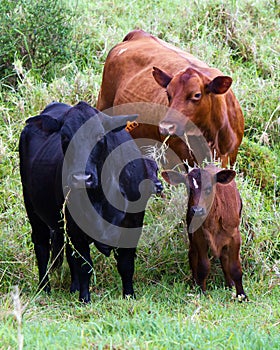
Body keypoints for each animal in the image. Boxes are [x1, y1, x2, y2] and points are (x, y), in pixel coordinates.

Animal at [19, 100, 162, 300]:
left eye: (99, 136)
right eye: (65, 137)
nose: (81, 178)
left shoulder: (133, 223)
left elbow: (126, 264)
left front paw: (129, 295)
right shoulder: (76, 227)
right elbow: (85, 265)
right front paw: (85, 299)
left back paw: (73, 288)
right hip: (32, 208)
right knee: (42, 247)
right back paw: (44, 288)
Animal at [162, 165, 247, 300]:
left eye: (208, 189)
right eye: (189, 189)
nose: (197, 210)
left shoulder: (235, 236)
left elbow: (235, 267)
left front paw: (242, 295)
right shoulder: (199, 236)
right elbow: (203, 266)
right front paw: (201, 291)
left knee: (224, 257)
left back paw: (230, 284)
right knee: (192, 254)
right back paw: (195, 284)